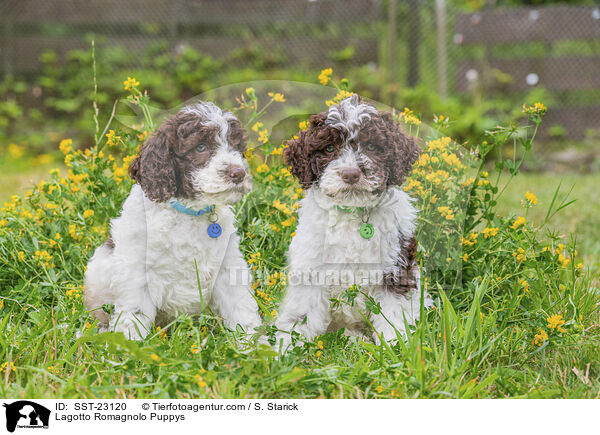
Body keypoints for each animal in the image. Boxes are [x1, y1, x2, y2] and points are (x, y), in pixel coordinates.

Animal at [85, 102, 262, 340]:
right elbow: (133, 314)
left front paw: (256, 343)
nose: (239, 173)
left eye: (235, 146)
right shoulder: (137, 273)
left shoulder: (227, 267)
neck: (189, 212)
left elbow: (242, 308)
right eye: (200, 147)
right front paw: (128, 346)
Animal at [272, 94, 432, 350]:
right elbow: (302, 311)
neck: (353, 213)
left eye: (372, 146)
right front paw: (286, 345)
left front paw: (395, 346)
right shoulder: (311, 268)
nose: (350, 174)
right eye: (329, 148)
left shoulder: (395, 269)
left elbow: (393, 312)